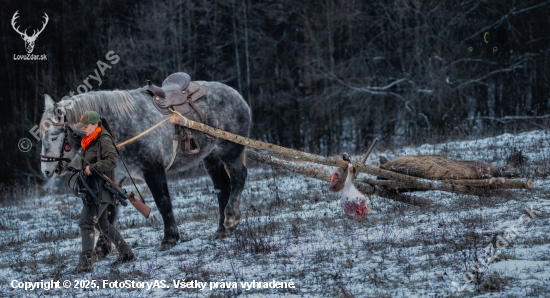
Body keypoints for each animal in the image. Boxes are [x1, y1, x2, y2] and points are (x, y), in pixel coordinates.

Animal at [40, 81, 252, 249]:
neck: (122, 127)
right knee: (222, 188)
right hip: (211, 158)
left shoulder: (152, 169)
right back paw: (222, 228)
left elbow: (163, 202)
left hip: (230, 151)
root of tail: (236, 95)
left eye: (54, 136)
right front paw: (102, 249)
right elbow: (108, 213)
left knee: (239, 177)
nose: (46, 170)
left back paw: (231, 218)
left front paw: (170, 238)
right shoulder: (115, 177)